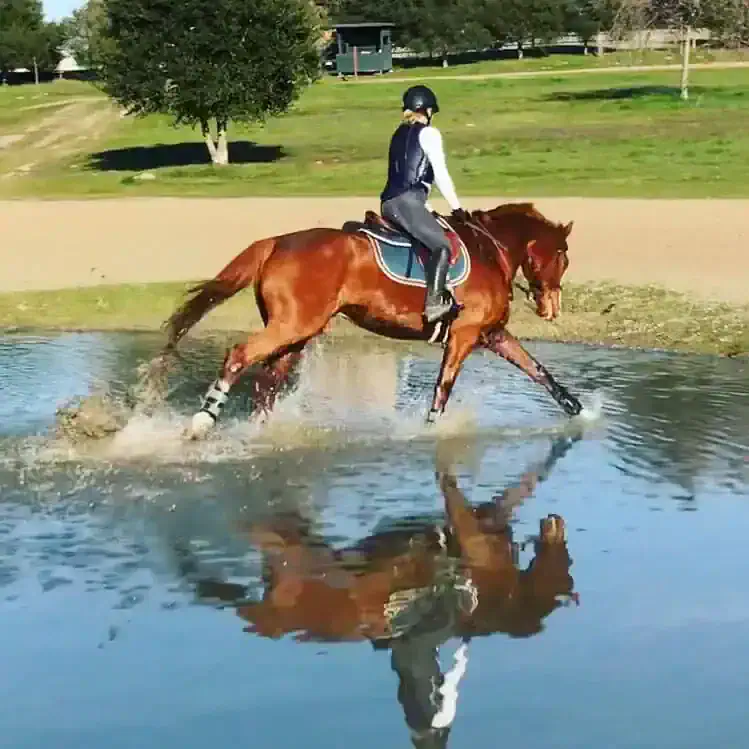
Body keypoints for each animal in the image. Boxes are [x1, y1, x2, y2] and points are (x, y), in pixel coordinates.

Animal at [159, 202, 581, 437]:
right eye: (563, 255)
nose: (552, 309)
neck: (490, 249)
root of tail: (277, 241)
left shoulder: (491, 333)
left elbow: (538, 370)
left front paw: (578, 409)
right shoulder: (464, 335)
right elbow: (443, 388)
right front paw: (430, 430)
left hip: (296, 334)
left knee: (268, 382)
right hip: (292, 327)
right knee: (239, 356)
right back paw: (201, 423)